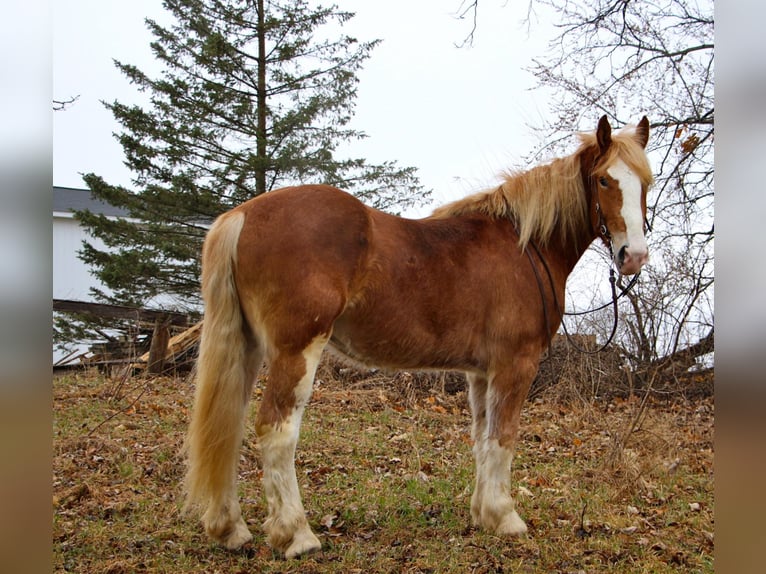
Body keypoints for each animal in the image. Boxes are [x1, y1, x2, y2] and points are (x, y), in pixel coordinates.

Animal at [184, 115, 656, 560]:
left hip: (248, 349)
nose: (633, 256)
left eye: (645, 182)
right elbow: (503, 438)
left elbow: (483, 440)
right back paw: (297, 536)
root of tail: (243, 215)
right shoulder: (515, 365)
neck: (524, 247)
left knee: (228, 425)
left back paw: (231, 529)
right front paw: (506, 518)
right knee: (276, 430)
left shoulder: (481, 373)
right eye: (604, 179)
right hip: (295, 351)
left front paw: (484, 515)